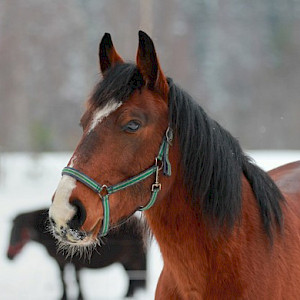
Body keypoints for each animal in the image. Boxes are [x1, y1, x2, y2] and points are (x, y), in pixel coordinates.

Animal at [6, 209, 147, 300]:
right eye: (11, 231)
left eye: (21, 231)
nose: (8, 256)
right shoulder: (60, 263)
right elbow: (63, 280)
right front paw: (63, 297)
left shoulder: (76, 263)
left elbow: (77, 281)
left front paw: (80, 297)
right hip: (125, 260)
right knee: (131, 278)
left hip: (133, 259)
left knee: (134, 276)